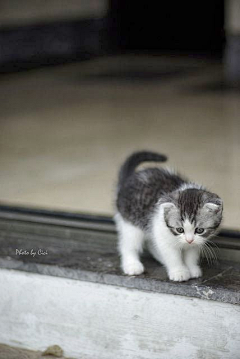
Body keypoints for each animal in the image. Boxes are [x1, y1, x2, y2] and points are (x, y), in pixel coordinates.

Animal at [115, 150, 223, 282]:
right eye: (179, 229)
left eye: (200, 230)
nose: (189, 240)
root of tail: (128, 180)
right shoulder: (161, 230)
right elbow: (172, 255)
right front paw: (179, 271)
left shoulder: (197, 241)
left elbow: (191, 254)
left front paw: (191, 268)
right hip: (131, 221)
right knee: (128, 244)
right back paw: (132, 265)